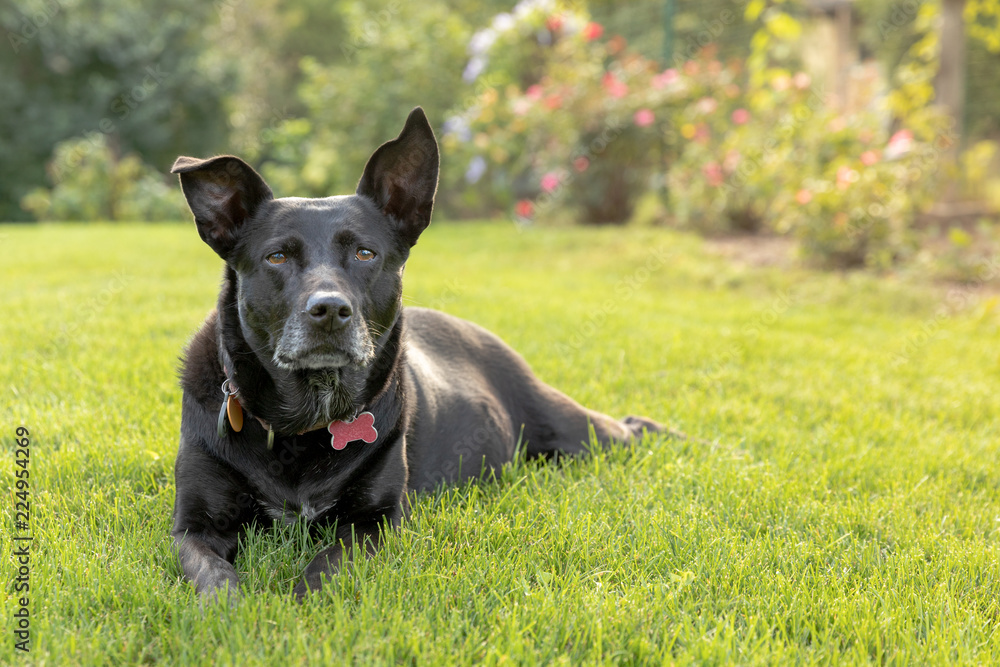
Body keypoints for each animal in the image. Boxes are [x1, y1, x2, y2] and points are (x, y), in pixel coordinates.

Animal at [171, 107, 668, 596]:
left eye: (365, 253)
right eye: (277, 257)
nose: (330, 310)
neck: (305, 422)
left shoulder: (376, 521)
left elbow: (327, 567)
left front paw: (299, 603)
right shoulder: (193, 526)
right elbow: (213, 577)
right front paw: (236, 609)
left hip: (575, 431)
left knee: (627, 427)